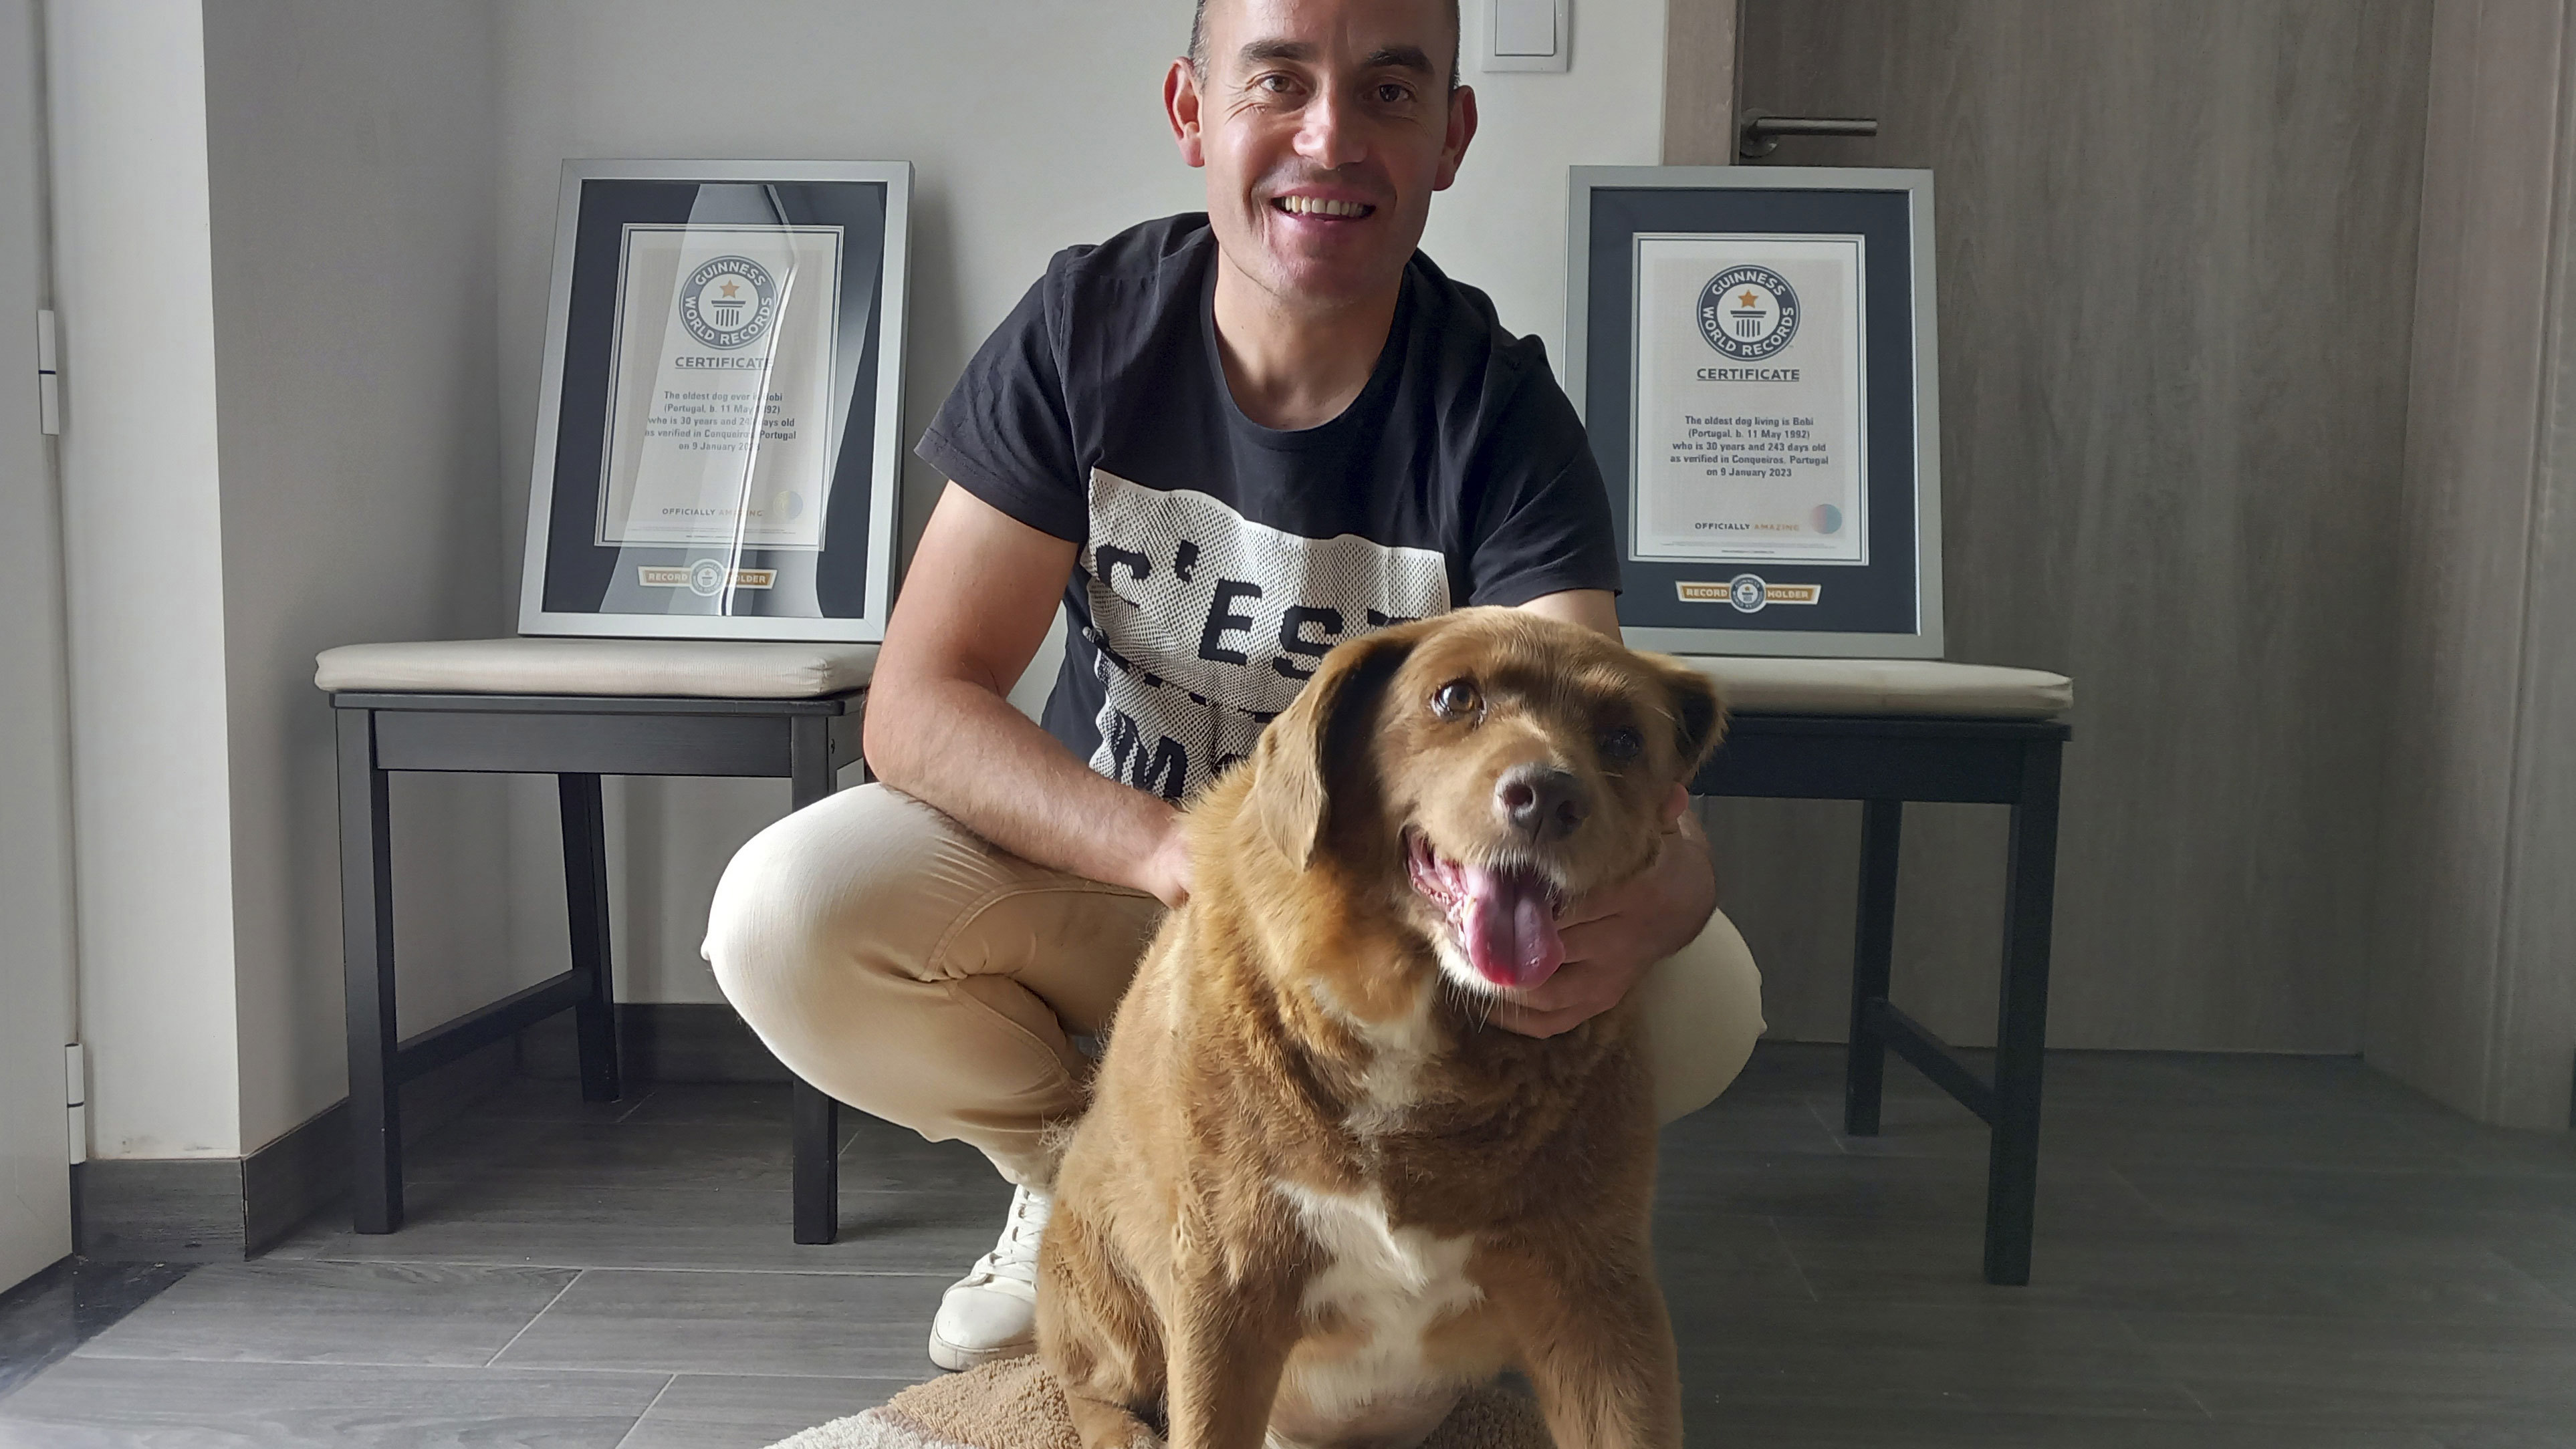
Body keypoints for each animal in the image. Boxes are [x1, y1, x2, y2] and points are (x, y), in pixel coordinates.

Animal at [1030, 607, 1731, 1441]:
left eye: (1623, 738)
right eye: (1455, 696)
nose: (1549, 796)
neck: (1414, 1017)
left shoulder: (1599, 1298)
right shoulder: (1226, 1281)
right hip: (1109, 1297)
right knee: (1086, 1383)